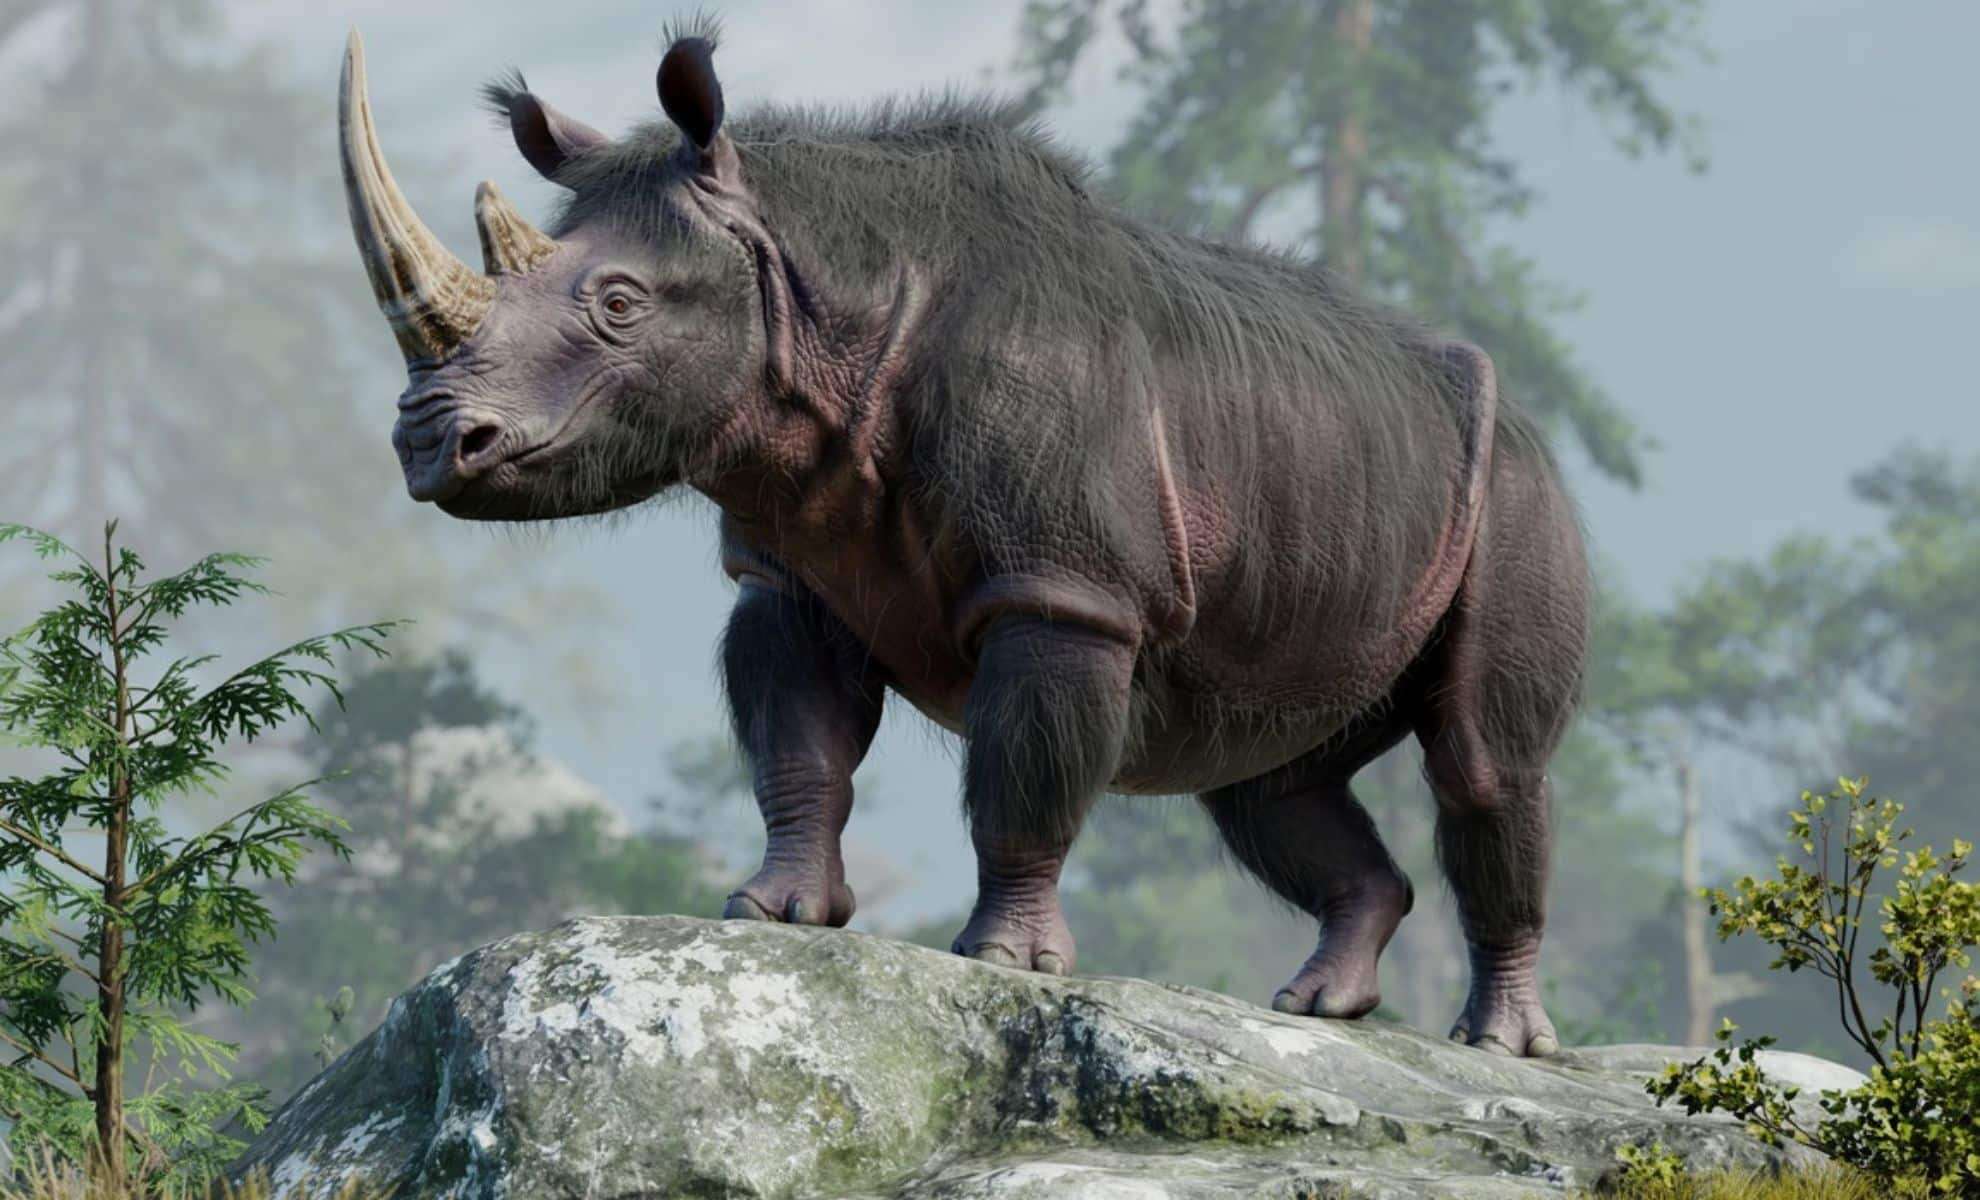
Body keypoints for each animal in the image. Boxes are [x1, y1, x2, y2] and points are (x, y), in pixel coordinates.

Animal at [338, 20, 1589, 1057]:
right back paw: (1321, 1008)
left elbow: (1020, 780)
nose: (432, 443)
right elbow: (799, 747)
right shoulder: (792, 567)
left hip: (1514, 486)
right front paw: (775, 916)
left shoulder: (1062, 589)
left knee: (1480, 761)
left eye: (618, 306)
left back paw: (1501, 1048)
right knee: (1268, 780)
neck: (817, 283)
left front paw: (1006, 963)